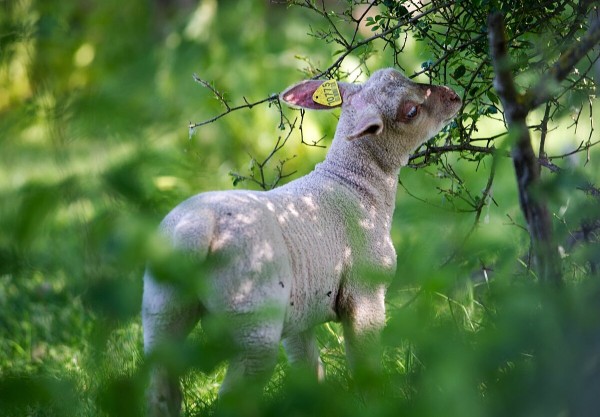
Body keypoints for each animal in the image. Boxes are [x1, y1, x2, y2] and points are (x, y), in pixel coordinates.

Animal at [143, 66, 462, 414]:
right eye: (411, 111)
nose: (454, 96)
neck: (354, 184)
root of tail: (200, 227)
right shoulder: (364, 293)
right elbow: (364, 365)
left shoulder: (301, 311)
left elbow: (310, 371)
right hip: (253, 318)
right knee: (232, 394)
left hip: (162, 309)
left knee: (161, 390)